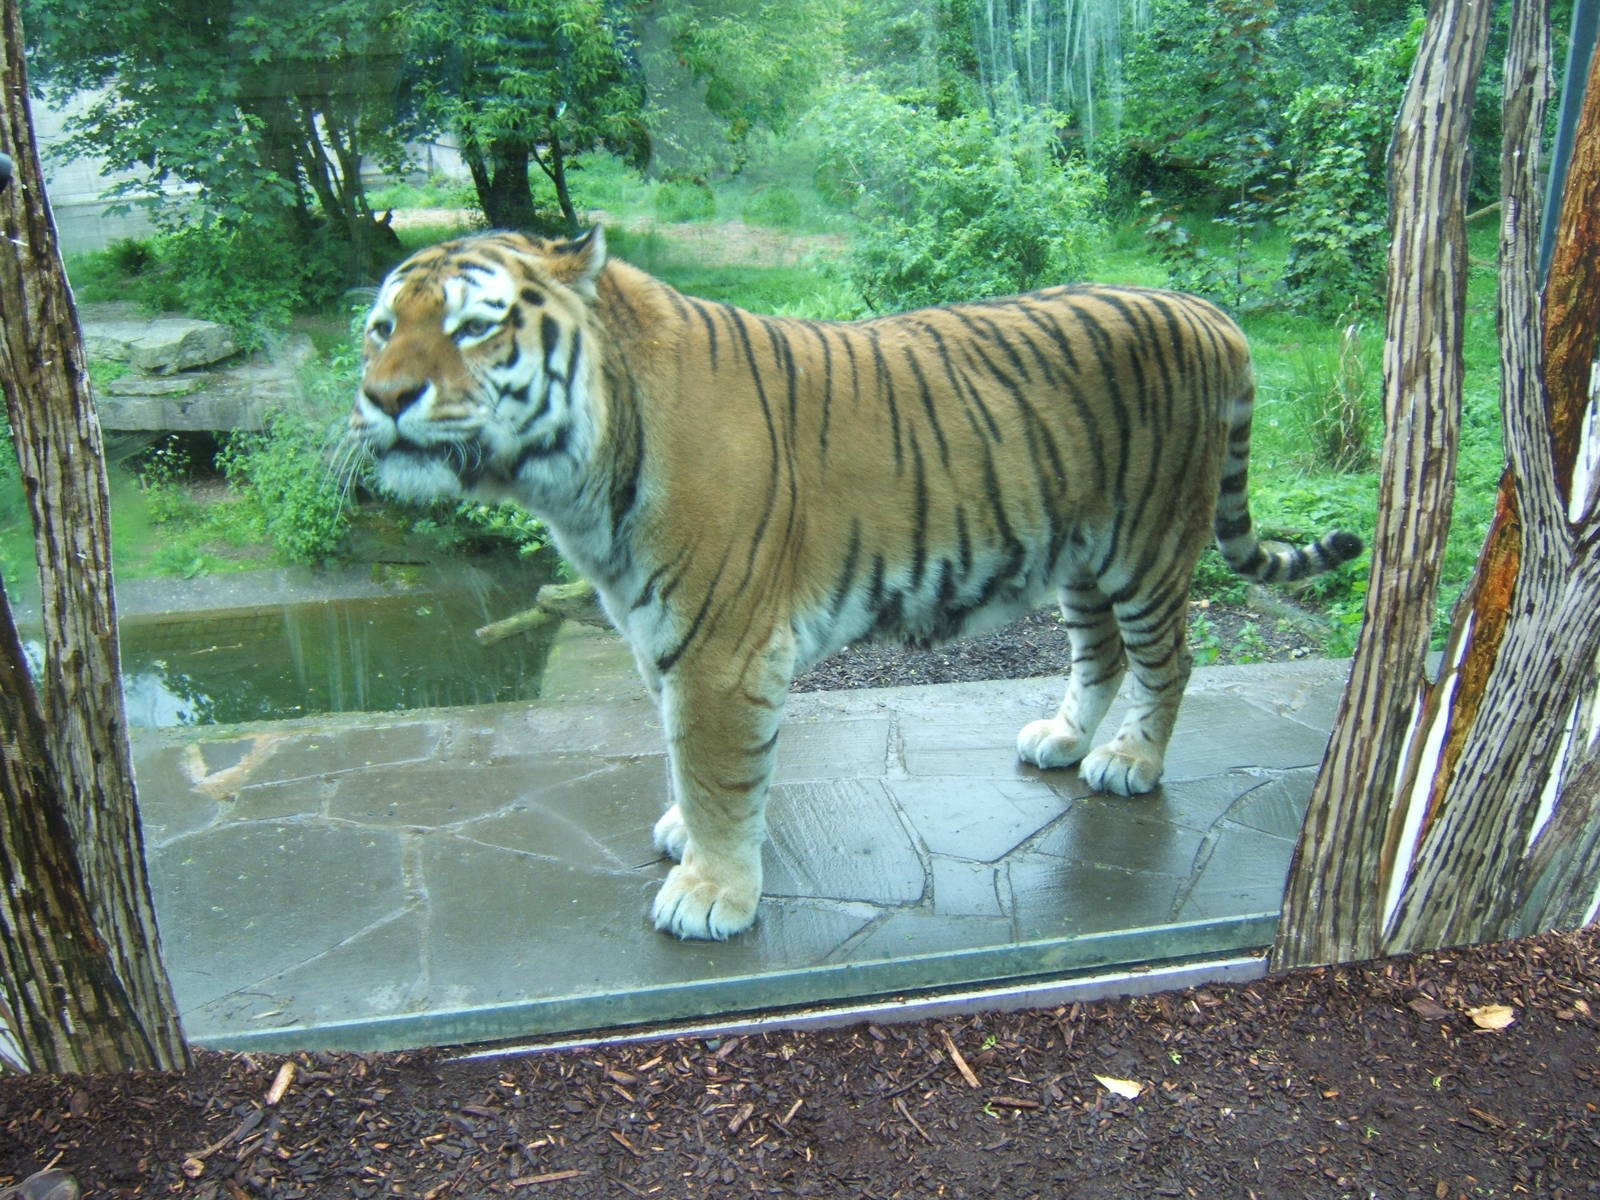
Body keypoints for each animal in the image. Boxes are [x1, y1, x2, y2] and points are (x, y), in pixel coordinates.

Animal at [351, 228, 1361, 941]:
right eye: (381, 329)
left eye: (474, 327)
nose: (383, 397)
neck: (578, 478)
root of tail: (1206, 309)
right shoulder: (658, 635)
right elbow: (680, 755)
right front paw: (686, 834)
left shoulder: (720, 652)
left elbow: (718, 771)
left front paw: (710, 893)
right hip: (1079, 557)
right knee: (1102, 652)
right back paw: (1064, 740)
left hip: (1146, 550)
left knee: (1171, 663)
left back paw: (1131, 763)